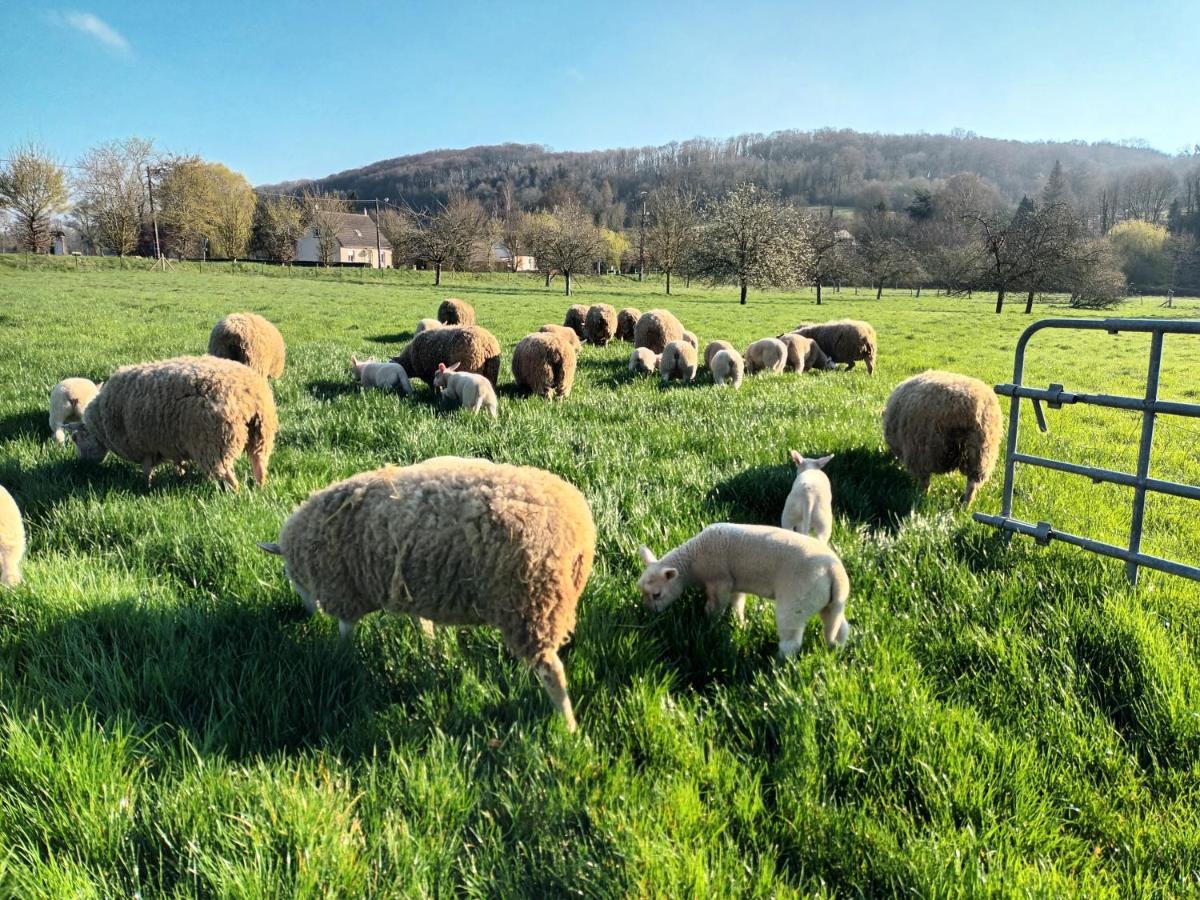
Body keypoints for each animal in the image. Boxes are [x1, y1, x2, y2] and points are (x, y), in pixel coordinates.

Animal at [68, 355, 278, 494]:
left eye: (76, 439)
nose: (83, 466)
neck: (102, 423)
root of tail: (249, 395)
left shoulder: (145, 447)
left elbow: (146, 470)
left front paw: (146, 487)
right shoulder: (171, 443)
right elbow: (178, 463)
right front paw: (180, 474)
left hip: (215, 443)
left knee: (228, 475)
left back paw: (236, 493)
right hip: (261, 434)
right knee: (259, 464)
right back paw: (260, 487)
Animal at [262, 458, 600, 734]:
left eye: (289, 575)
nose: (307, 614)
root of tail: (578, 533)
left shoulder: (343, 590)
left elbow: (346, 632)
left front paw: (342, 657)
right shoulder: (410, 590)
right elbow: (422, 627)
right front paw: (430, 653)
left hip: (533, 604)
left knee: (552, 672)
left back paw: (568, 727)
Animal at [638, 520, 854, 657]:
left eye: (657, 594)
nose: (649, 615)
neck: (692, 563)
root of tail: (834, 572)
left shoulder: (719, 581)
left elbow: (714, 607)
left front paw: (709, 626)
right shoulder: (734, 582)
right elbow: (737, 603)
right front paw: (740, 623)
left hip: (797, 600)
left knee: (791, 640)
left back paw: (777, 663)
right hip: (829, 602)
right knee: (839, 627)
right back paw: (836, 649)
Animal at [883, 367, 1003, 508]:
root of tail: (975, 407)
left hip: (924, 450)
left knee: (925, 481)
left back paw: (921, 496)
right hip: (982, 453)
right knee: (972, 484)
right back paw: (965, 507)